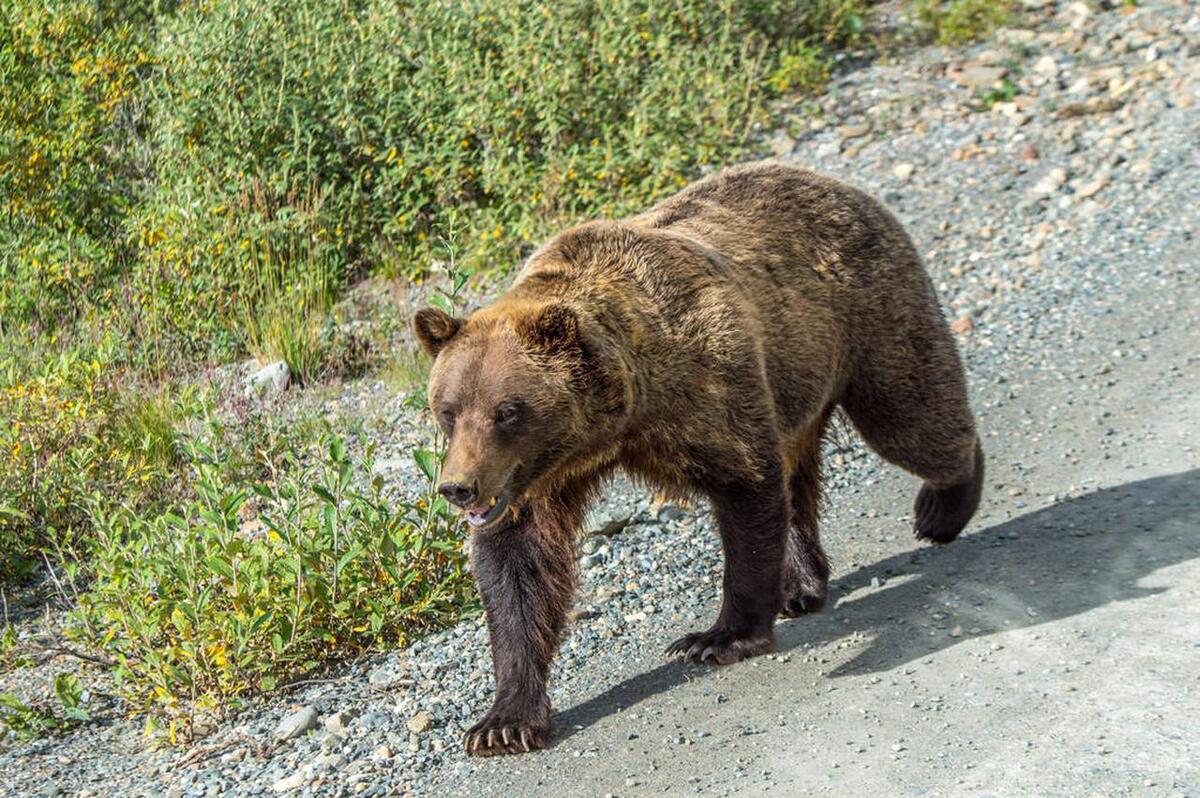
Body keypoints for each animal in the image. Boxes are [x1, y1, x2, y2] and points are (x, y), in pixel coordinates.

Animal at [412, 160, 984, 753]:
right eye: (448, 411)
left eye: (507, 410)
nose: (458, 487)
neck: (621, 414)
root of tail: (837, 183)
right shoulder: (538, 477)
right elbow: (518, 567)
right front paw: (503, 722)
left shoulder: (708, 381)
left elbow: (747, 489)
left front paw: (717, 637)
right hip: (797, 375)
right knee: (801, 470)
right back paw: (801, 585)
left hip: (864, 312)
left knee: (909, 415)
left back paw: (942, 507)